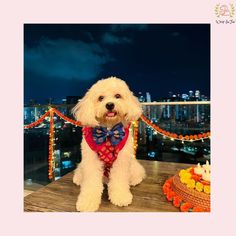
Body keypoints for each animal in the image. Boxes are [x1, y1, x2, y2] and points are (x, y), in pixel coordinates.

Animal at [72, 76, 146, 212]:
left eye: (117, 96)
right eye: (101, 98)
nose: (110, 105)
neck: (108, 130)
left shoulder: (121, 160)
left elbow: (119, 179)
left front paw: (120, 196)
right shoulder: (91, 160)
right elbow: (90, 183)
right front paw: (87, 202)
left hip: (132, 165)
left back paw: (135, 179)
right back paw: (78, 178)